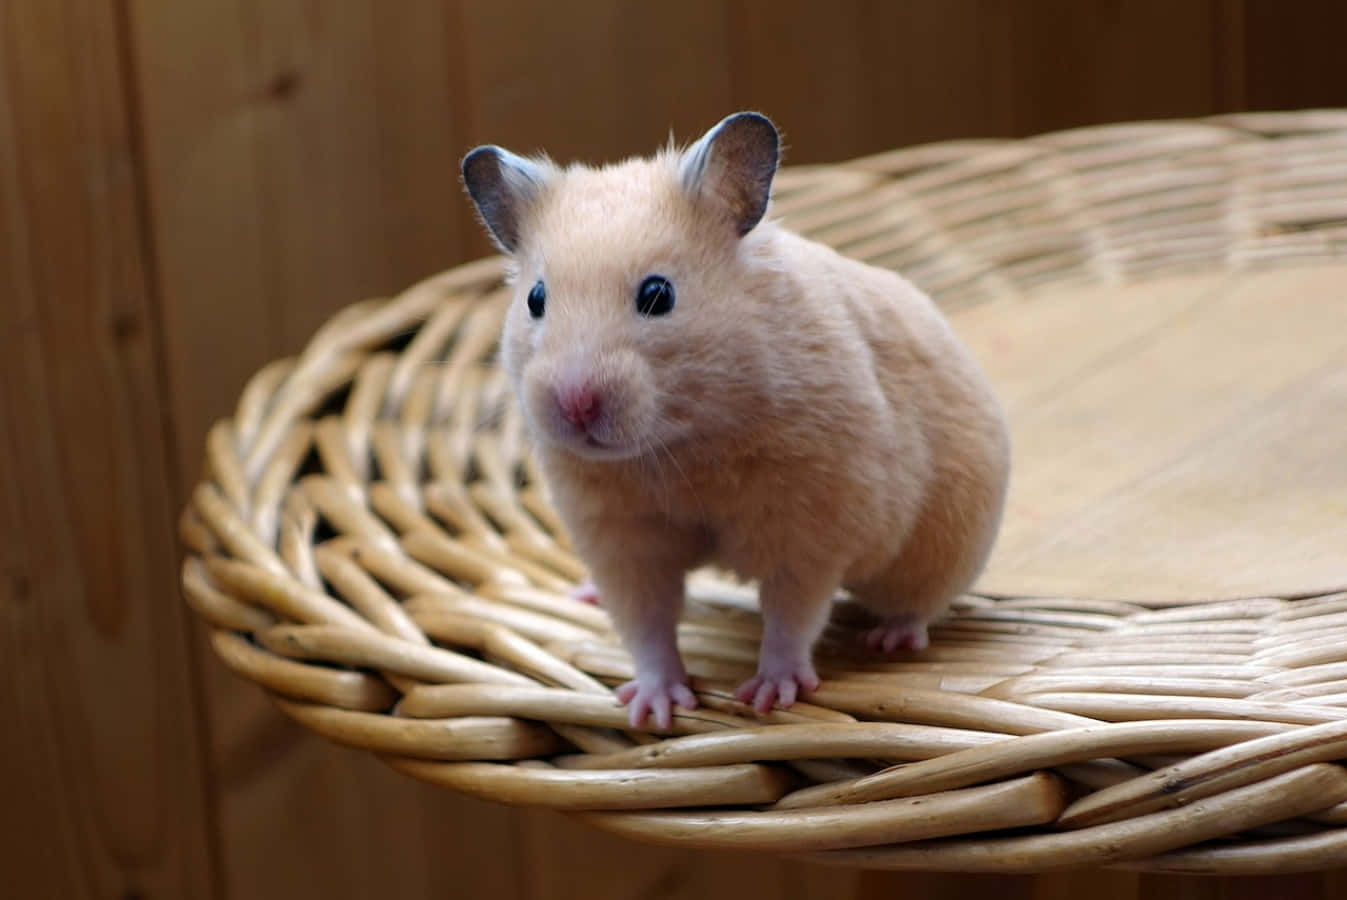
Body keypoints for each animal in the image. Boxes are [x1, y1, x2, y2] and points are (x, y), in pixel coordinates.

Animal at [461, 112, 1010, 730]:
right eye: (536, 298)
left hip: (944, 544)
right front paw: (655, 710)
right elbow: (647, 625)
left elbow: (792, 616)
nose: (574, 403)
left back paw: (890, 641)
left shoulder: (812, 527)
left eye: (658, 294)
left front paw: (769, 698)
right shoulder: (619, 538)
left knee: (919, 603)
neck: (680, 443)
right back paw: (584, 597)